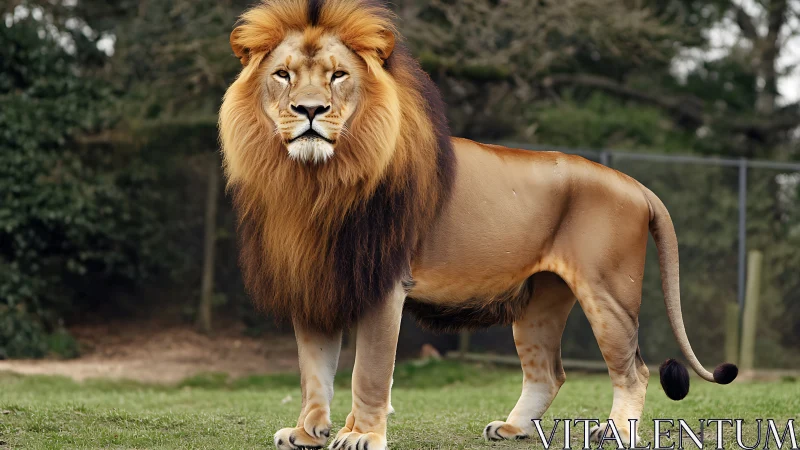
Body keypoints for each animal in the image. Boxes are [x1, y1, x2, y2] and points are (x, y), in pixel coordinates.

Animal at [218, 1, 738, 449]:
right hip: (540, 301)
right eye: (283, 75)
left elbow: (368, 370)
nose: (309, 110)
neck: (312, 182)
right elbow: (314, 373)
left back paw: (616, 434)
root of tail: (635, 184)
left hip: (608, 293)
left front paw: (361, 435)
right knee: (548, 372)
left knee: (634, 371)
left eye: (338, 75)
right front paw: (307, 432)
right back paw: (513, 428)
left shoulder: (386, 286)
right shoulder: (312, 282)